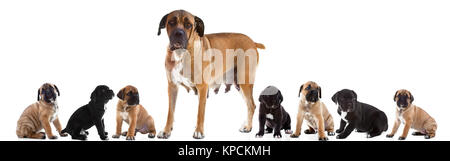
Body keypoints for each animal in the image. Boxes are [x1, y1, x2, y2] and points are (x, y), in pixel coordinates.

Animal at [157, 10, 266, 139]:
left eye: (188, 25)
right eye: (171, 22)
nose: (178, 33)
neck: (181, 54)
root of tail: (252, 41)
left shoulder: (202, 88)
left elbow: (200, 112)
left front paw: (199, 131)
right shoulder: (172, 86)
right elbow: (170, 112)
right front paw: (166, 131)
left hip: (245, 81)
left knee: (251, 105)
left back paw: (248, 127)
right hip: (239, 84)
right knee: (250, 105)